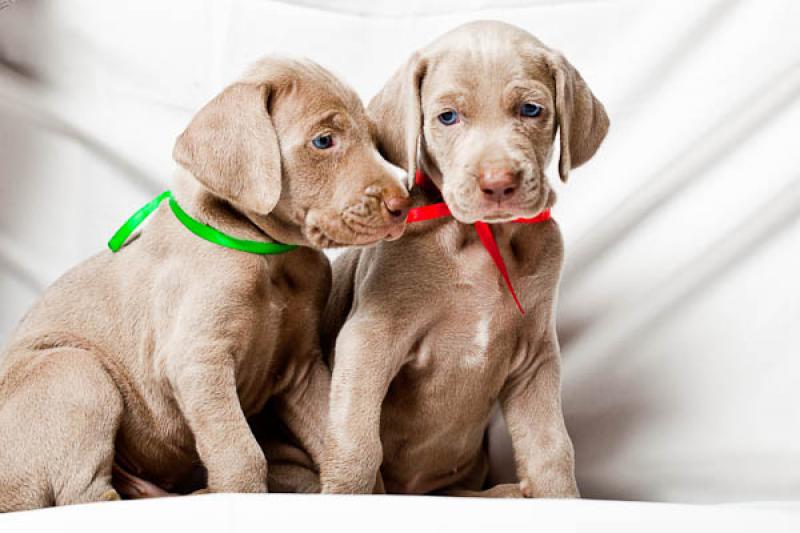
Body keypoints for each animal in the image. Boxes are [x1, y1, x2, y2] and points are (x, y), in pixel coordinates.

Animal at [0, 56, 410, 510]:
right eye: (324, 141)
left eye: (375, 140)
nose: (403, 203)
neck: (271, 256)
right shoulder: (198, 360)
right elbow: (240, 452)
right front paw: (238, 493)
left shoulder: (302, 368)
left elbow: (338, 439)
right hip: (75, 370)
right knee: (85, 496)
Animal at [318, 19, 608, 494]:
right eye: (448, 117)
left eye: (531, 110)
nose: (498, 183)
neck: (482, 239)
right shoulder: (370, 335)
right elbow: (356, 440)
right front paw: (344, 495)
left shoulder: (535, 356)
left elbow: (551, 449)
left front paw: (561, 498)